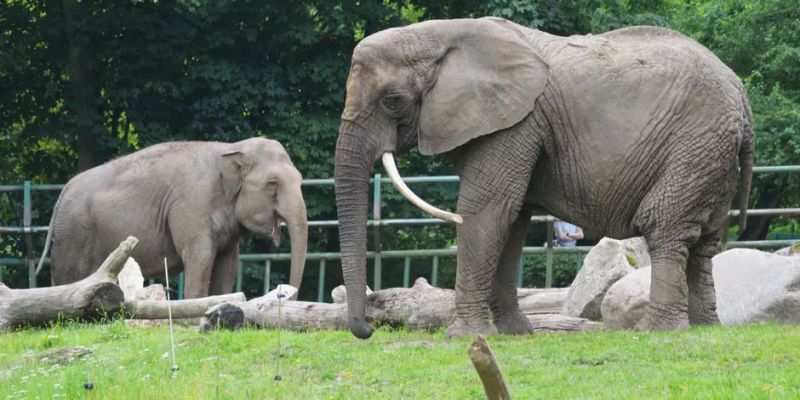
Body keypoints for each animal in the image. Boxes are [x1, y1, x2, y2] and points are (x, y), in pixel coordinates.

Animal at [330, 17, 752, 340]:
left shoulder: (516, 122)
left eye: (392, 101)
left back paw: (656, 330)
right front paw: (516, 333)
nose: (367, 329)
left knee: (666, 227)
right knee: (704, 241)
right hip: (712, 154)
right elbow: (513, 219)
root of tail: (742, 96)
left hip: (694, 145)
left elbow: (485, 209)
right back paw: (705, 327)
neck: (438, 33)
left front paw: (463, 337)